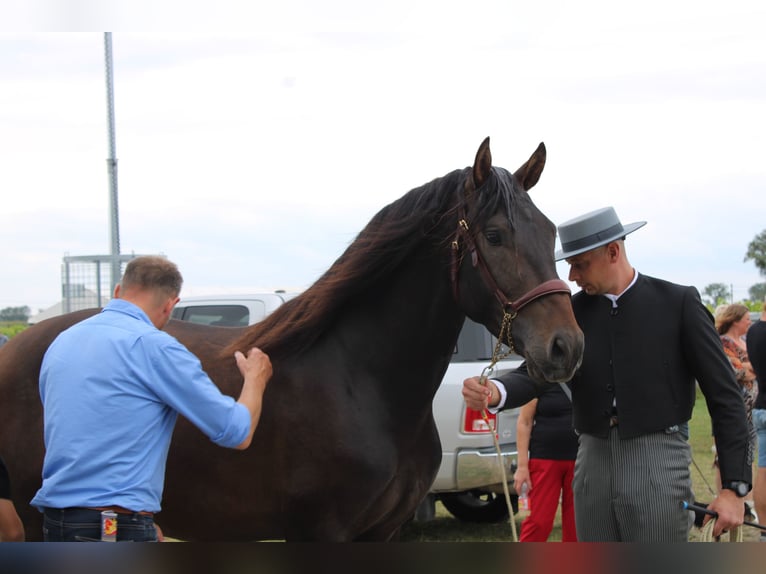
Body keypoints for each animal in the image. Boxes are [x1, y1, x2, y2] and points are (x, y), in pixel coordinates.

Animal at [0, 137, 584, 544]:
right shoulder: (321, 532)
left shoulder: (382, 533)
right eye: (495, 236)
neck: (359, 381)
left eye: (550, 231)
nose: (566, 347)